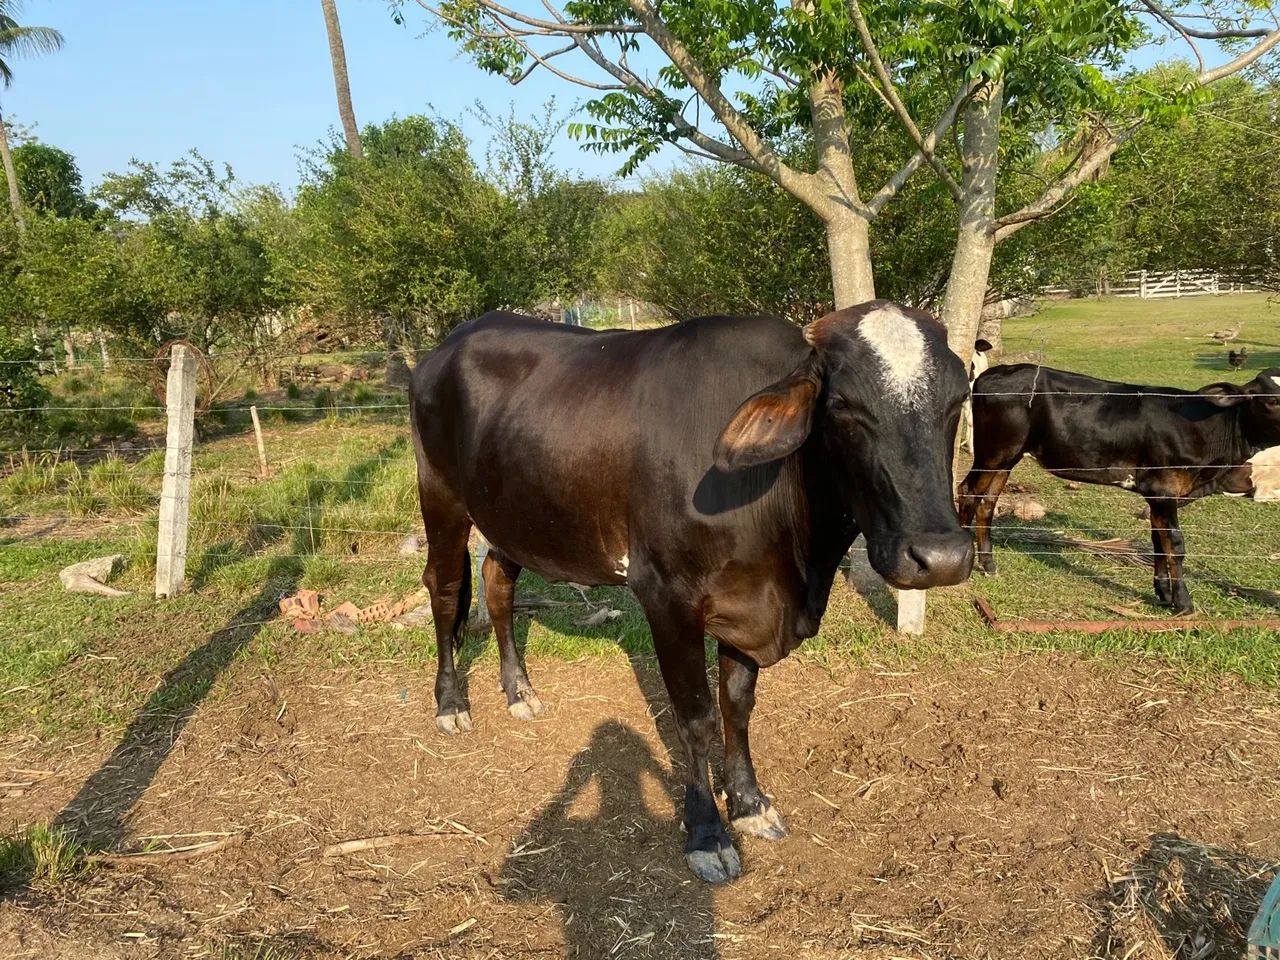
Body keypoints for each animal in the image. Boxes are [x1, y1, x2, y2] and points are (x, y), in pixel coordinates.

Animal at [410, 300, 974, 884]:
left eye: (959, 399)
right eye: (842, 406)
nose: (941, 556)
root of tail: (452, 341)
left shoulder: (746, 602)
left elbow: (737, 706)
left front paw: (748, 803)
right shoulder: (667, 597)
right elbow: (696, 718)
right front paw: (707, 831)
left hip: (515, 517)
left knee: (497, 584)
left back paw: (519, 691)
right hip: (441, 498)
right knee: (445, 590)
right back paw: (450, 704)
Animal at [958, 365, 1280, 613]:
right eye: (1271, 400)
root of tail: (993, 373)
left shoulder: (1157, 495)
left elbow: (1158, 542)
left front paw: (1164, 594)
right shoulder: (1163, 488)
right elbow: (1175, 545)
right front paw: (1184, 603)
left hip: (1008, 456)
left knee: (987, 501)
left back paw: (988, 564)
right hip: (993, 452)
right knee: (967, 491)